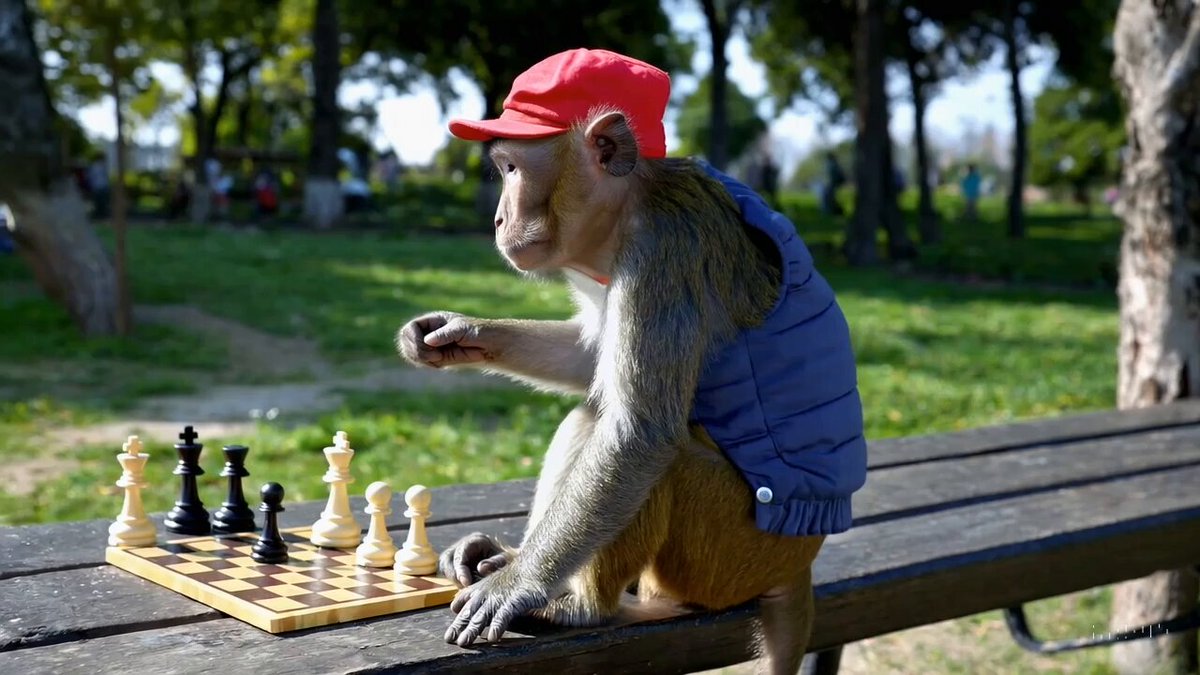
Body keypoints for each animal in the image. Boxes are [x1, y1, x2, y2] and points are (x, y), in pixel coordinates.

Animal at [398, 48, 868, 672]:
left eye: (512, 170)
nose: (497, 219)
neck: (631, 207)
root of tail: (799, 564)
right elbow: (588, 358)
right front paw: (456, 332)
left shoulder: (662, 255)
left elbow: (637, 434)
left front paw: (518, 587)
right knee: (591, 412)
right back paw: (507, 556)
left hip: (729, 552)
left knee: (645, 442)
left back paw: (580, 604)